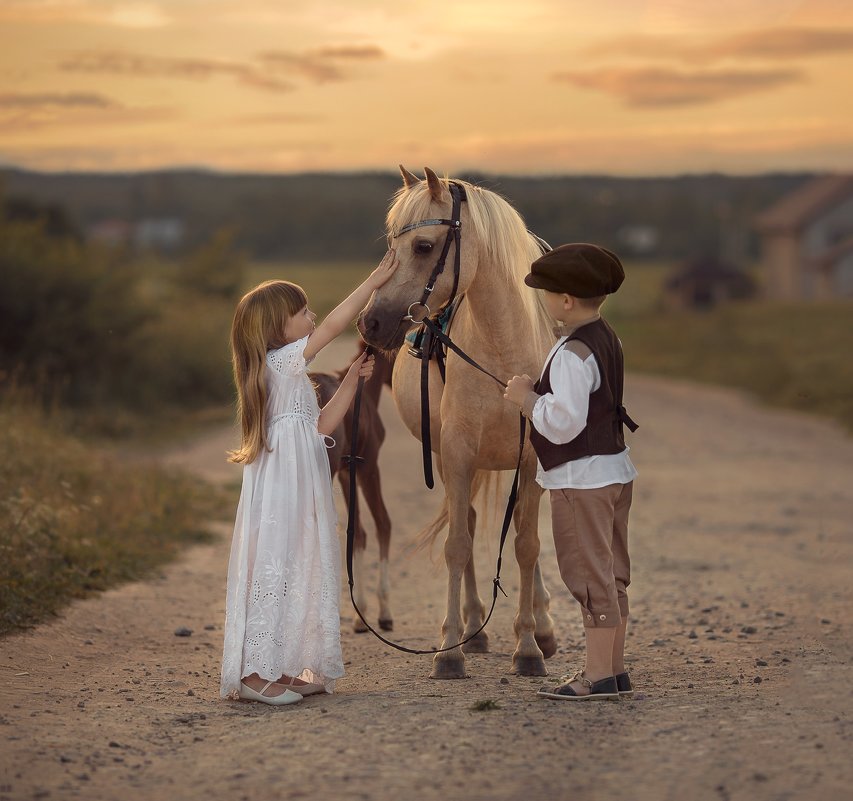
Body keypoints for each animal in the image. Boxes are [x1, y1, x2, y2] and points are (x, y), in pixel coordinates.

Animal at [312, 344, 394, 632]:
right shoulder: (369, 468)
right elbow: (383, 523)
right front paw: (383, 612)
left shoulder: (348, 472)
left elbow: (357, 532)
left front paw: (360, 614)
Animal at [356, 166, 556, 680]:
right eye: (392, 244)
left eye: (424, 246)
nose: (371, 323)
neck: (504, 353)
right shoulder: (458, 453)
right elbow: (457, 545)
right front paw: (449, 649)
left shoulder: (531, 460)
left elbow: (527, 546)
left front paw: (529, 646)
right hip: (450, 463)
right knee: (465, 522)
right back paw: (474, 627)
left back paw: (545, 628)